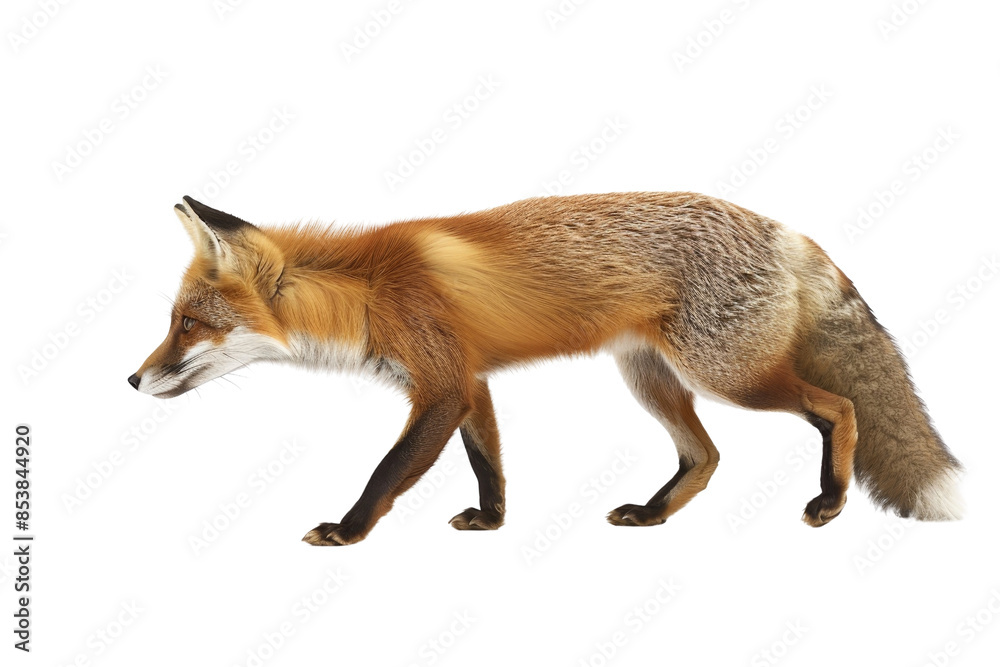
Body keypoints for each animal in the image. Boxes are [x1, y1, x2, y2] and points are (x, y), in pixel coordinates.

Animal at [129, 193, 963, 546]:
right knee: (706, 456)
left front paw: (348, 528)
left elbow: (388, 469)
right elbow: (489, 464)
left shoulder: (440, 386)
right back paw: (653, 515)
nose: (132, 380)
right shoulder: (468, 384)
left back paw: (832, 500)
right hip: (652, 380)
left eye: (187, 324)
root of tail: (785, 229)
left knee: (840, 408)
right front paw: (493, 522)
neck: (364, 291)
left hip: (731, 377)